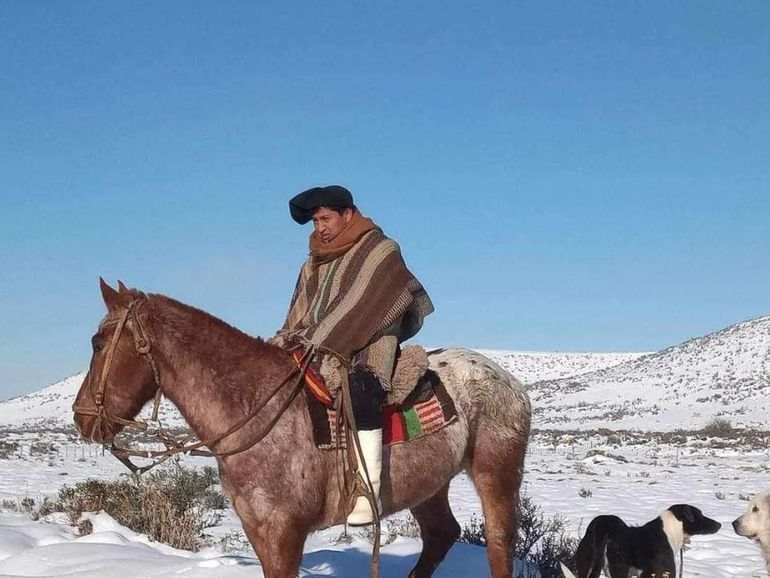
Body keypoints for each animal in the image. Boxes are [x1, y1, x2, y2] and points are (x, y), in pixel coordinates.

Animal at [73, 279, 531, 578]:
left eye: (97, 343)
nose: (81, 417)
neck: (254, 408)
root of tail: (509, 380)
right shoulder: (258, 531)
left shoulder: (284, 533)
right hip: (430, 486)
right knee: (441, 535)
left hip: (496, 473)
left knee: (498, 545)